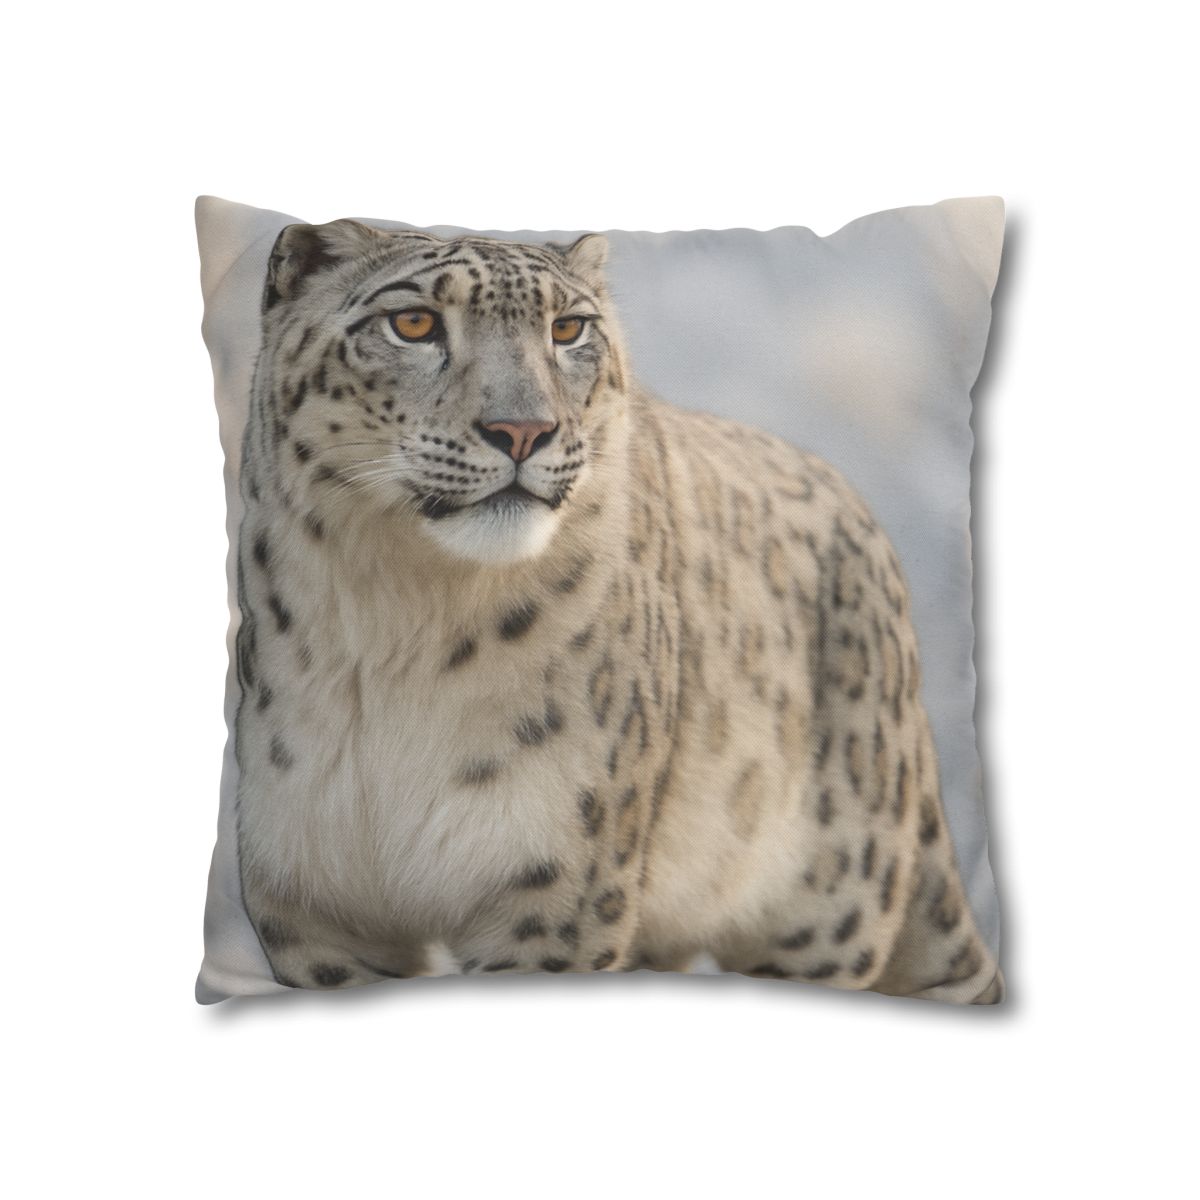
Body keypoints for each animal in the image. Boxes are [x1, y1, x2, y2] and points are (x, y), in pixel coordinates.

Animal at [231, 218, 1003, 1004]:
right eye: (413, 322)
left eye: (568, 328)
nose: (523, 430)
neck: (399, 621)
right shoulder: (314, 905)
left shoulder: (556, 894)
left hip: (825, 913)